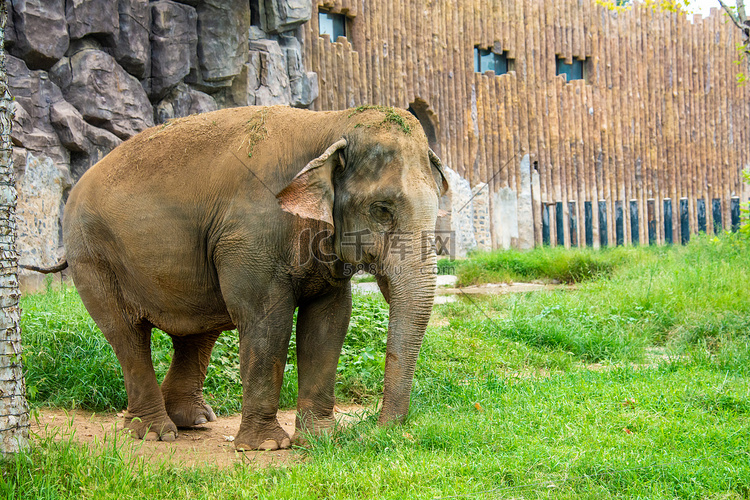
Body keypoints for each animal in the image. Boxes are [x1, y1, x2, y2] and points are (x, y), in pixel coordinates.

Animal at [33, 104, 446, 450]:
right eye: (382, 209)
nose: (380, 431)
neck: (330, 123)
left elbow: (329, 323)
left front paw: (320, 440)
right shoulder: (249, 236)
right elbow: (267, 322)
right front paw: (267, 447)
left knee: (196, 334)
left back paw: (192, 420)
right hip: (93, 255)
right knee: (127, 334)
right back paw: (154, 432)